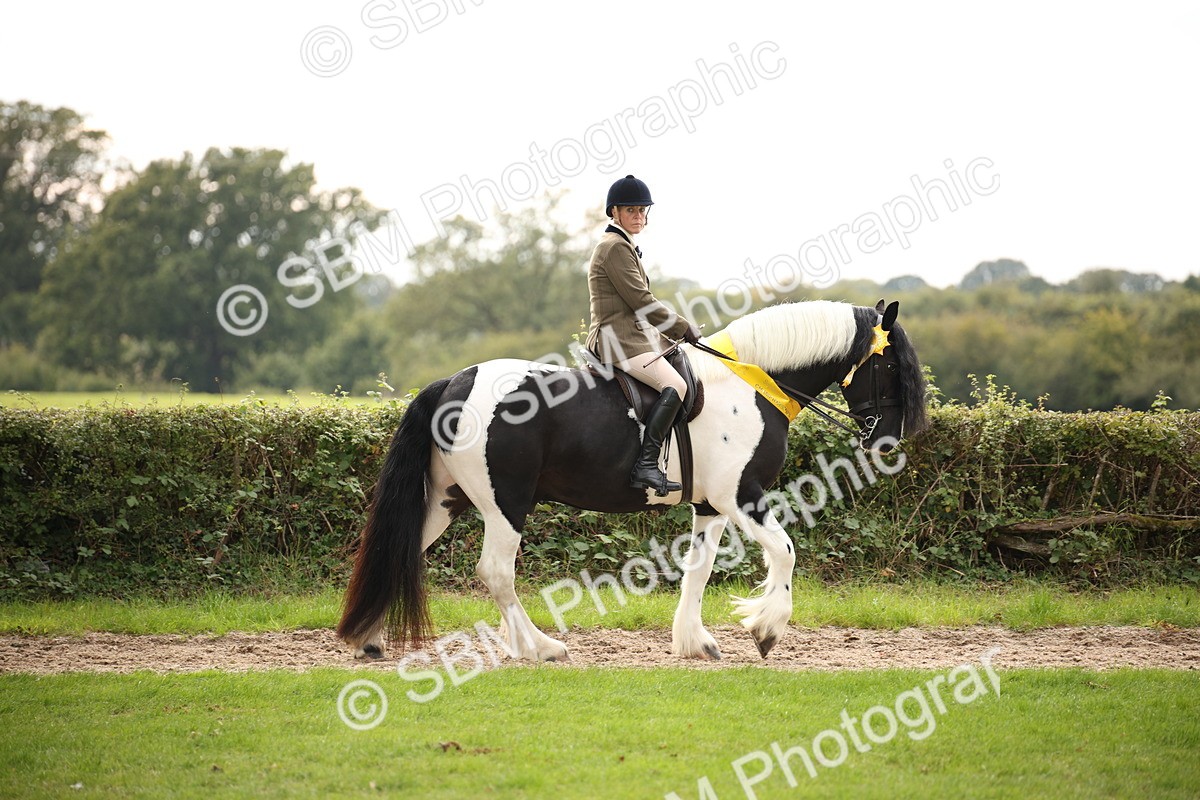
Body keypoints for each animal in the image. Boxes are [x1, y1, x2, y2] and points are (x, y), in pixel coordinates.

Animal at [336, 299, 928, 661]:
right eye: (890, 367)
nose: (886, 444)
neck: (752, 383)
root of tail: (454, 382)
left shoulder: (711, 505)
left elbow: (698, 569)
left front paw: (694, 642)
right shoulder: (741, 496)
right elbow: (784, 552)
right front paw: (766, 630)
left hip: (445, 499)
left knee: (401, 549)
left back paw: (370, 639)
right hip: (507, 503)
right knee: (497, 572)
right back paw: (540, 647)